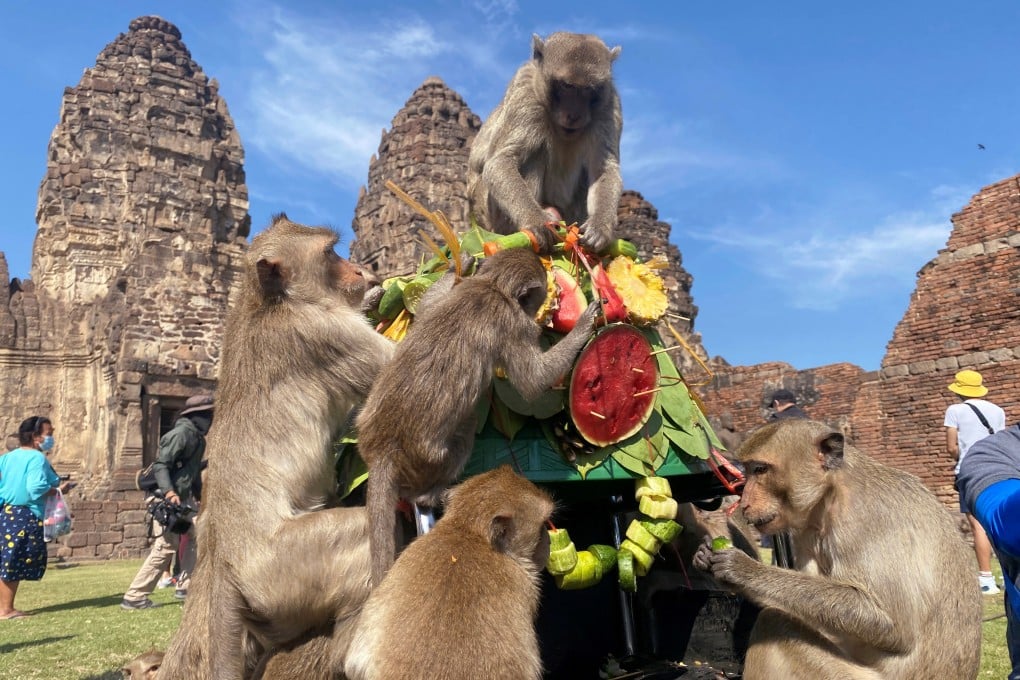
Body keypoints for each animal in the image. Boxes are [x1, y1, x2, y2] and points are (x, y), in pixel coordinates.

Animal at [158, 215, 396, 680]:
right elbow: (399, 367)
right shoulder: (324, 331)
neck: (268, 302)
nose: (362, 270)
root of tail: (223, 566)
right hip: (285, 570)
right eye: (330, 254)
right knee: (364, 536)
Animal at [357, 247, 598, 586]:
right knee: (465, 431)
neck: (492, 286)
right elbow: (532, 382)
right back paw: (428, 495)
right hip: (428, 458)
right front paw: (584, 325)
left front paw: (461, 264)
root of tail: (382, 449)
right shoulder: (513, 322)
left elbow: (426, 309)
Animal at [467, 32, 623, 254]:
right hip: (489, 213)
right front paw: (537, 222)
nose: (574, 114)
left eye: (588, 90)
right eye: (567, 86)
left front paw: (601, 227)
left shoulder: (609, 104)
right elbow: (500, 161)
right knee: (534, 154)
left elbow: (603, 170)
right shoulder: (525, 91)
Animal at [693, 419, 982, 680]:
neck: (831, 492)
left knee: (773, 621)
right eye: (749, 470)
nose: (744, 501)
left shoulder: (864, 519)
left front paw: (743, 570)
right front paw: (708, 553)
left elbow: (894, 625)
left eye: (760, 470)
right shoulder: (806, 529)